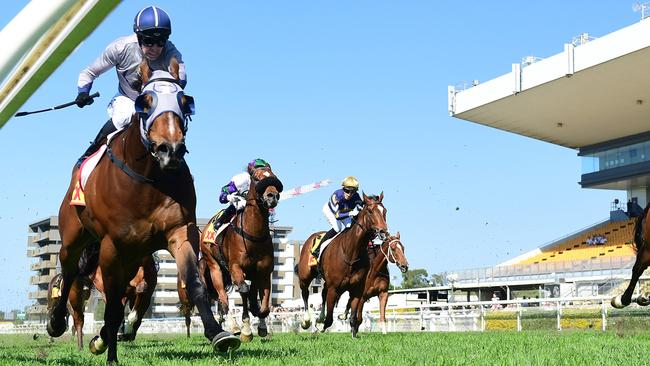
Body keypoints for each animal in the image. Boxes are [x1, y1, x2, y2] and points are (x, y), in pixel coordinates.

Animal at [46, 60, 238, 364]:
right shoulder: (111, 246)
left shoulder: (179, 231)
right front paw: (111, 355)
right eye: (145, 102)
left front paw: (218, 333)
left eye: (185, 102)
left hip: (131, 257)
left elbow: (194, 283)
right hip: (74, 237)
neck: (148, 180)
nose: (170, 149)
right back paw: (56, 322)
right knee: (69, 270)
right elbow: (112, 305)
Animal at [200, 164, 280, 342]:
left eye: (273, 176)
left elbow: (262, 303)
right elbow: (244, 291)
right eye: (257, 178)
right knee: (223, 298)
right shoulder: (236, 267)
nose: (272, 196)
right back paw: (235, 327)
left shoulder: (263, 272)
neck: (254, 235)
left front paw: (261, 325)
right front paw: (246, 330)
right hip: (214, 266)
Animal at [298, 192, 388, 338]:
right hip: (305, 275)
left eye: (384, 211)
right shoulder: (334, 288)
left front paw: (353, 335)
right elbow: (329, 319)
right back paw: (306, 320)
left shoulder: (357, 289)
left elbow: (353, 318)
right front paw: (320, 326)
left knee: (322, 293)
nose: (383, 231)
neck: (351, 253)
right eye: (370, 211)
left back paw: (319, 318)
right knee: (305, 292)